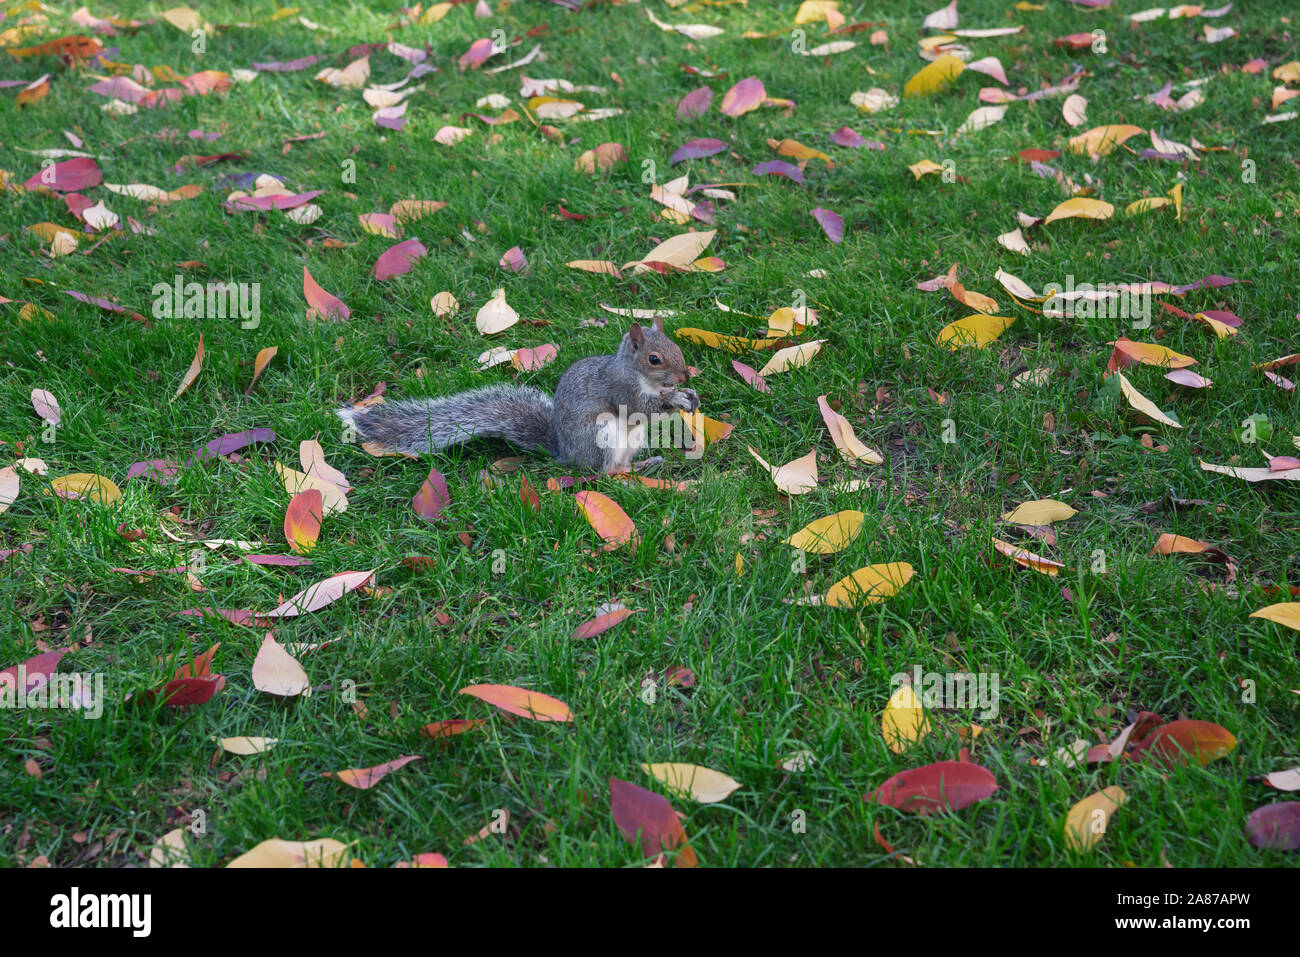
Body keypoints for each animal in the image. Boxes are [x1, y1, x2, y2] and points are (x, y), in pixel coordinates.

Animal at [338, 317, 702, 475]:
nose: (685, 375)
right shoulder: (620, 387)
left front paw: (689, 394)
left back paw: (644, 463)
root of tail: (565, 452)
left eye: (677, 347)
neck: (637, 372)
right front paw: (676, 399)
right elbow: (641, 407)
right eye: (654, 359)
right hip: (600, 436)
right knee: (604, 473)